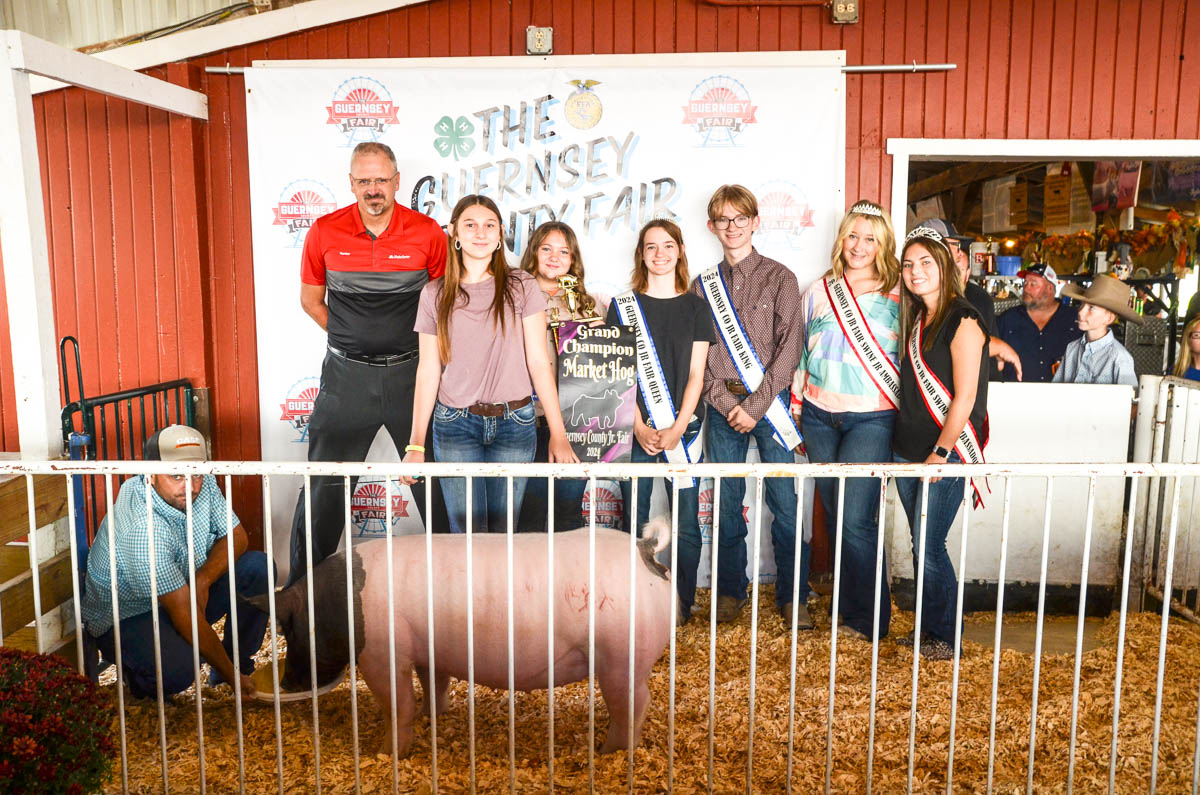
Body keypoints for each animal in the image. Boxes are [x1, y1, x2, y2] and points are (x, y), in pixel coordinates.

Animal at [249, 518, 673, 756]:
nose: (286, 683)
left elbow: (397, 705)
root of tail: (645, 549)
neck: (344, 605)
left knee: (636, 703)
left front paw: (387, 754)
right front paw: (432, 716)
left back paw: (609, 752)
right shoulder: (425, 650)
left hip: (620, 655)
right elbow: (433, 684)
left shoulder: (382, 652)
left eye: (288, 628)